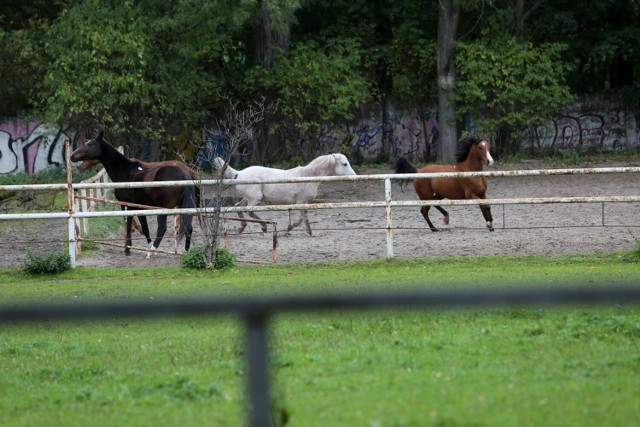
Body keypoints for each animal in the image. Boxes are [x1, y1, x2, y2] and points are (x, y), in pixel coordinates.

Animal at [70, 132, 198, 258]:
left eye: (90, 144)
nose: (72, 156)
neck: (125, 171)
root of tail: (184, 175)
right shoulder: (139, 207)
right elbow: (145, 228)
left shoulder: (128, 205)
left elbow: (128, 225)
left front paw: (127, 249)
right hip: (182, 207)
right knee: (188, 227)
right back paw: (186, 252)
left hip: (164, 208)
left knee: (162, 228)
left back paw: (151, 252)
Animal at [214, 154, 356, 236]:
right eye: (345, 164)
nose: (354, 177)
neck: (307, 176)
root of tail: (238, 173)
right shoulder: (301, 202)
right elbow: (304, 217)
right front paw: (307, 231)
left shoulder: (303, 203)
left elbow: (302, 217)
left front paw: (289, 228)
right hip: (255, 199)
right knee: (248, 210)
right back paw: (263, 226)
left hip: (250, 198)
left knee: (239, 207)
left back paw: (242, 228)